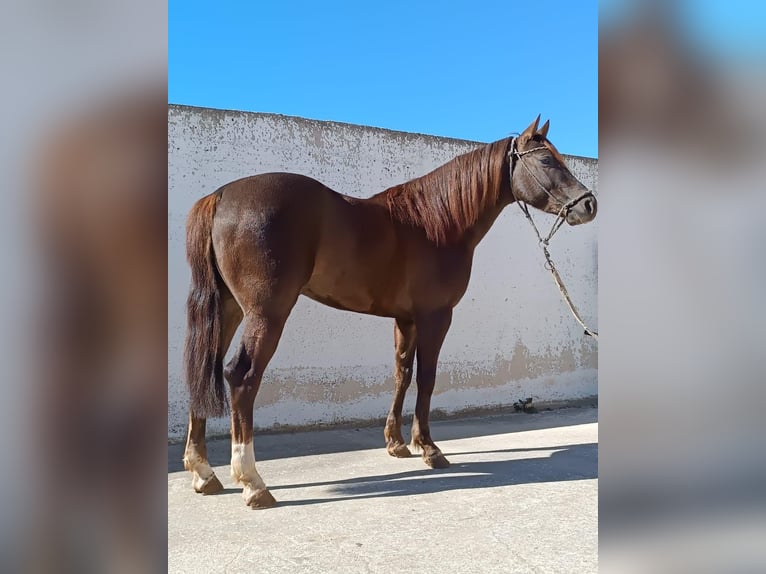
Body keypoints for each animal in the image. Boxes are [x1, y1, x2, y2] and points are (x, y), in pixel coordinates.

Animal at [182, 116, 600, 508]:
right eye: (546, 160)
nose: (588, 205)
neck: (436, 221)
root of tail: (220, 196)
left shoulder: (406, 319)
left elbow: (402, 374)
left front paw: (397, 443)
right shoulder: (436, 317)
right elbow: (427, 378)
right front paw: (429, 448)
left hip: (229, 309)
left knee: (203, 371)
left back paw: (204, 473)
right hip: (266, 313)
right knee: (241, 377)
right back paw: (253, 482)